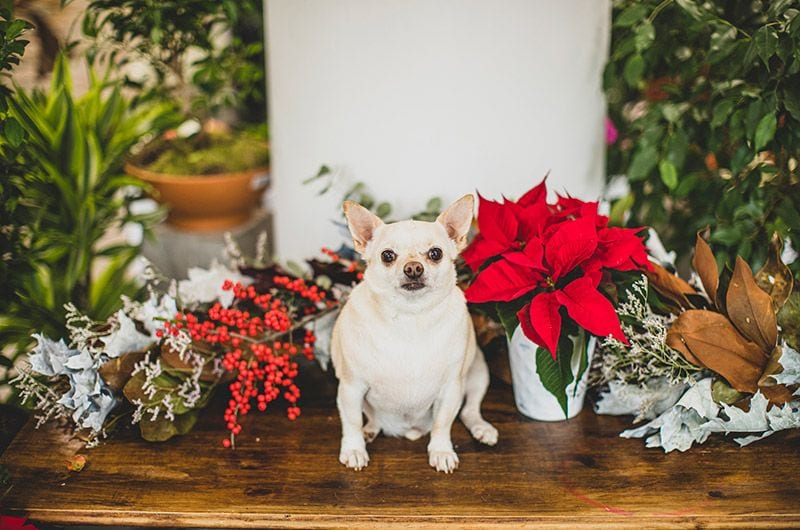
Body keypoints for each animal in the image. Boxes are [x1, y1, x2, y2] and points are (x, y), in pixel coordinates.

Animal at [330, 194, 494, 470]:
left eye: (435, 253)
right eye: (387, 255)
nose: (414, 268)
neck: (410, 317)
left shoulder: (451, 389)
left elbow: (443, 423)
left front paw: (441, 451)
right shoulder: (351, 387)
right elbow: (351, 422)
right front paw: (353, 449)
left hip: (478, 373)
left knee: (470, 410)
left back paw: (483, 428)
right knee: (369, 418)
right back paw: (370, 430)